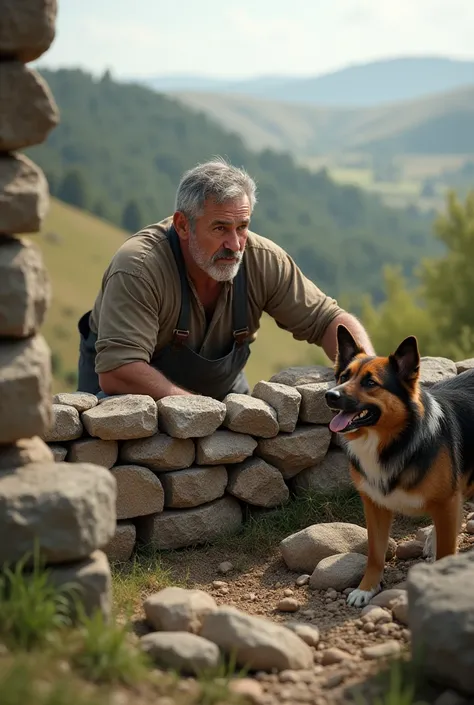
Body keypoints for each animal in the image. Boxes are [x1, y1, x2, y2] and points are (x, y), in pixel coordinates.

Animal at [324, 324, 474, 604]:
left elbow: (446, 550)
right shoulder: (374, 506)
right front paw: (366, 588)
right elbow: (374, 553)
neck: (393, 441)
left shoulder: (446, 502)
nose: (329, 395)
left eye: (370, 382)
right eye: (343, 377)